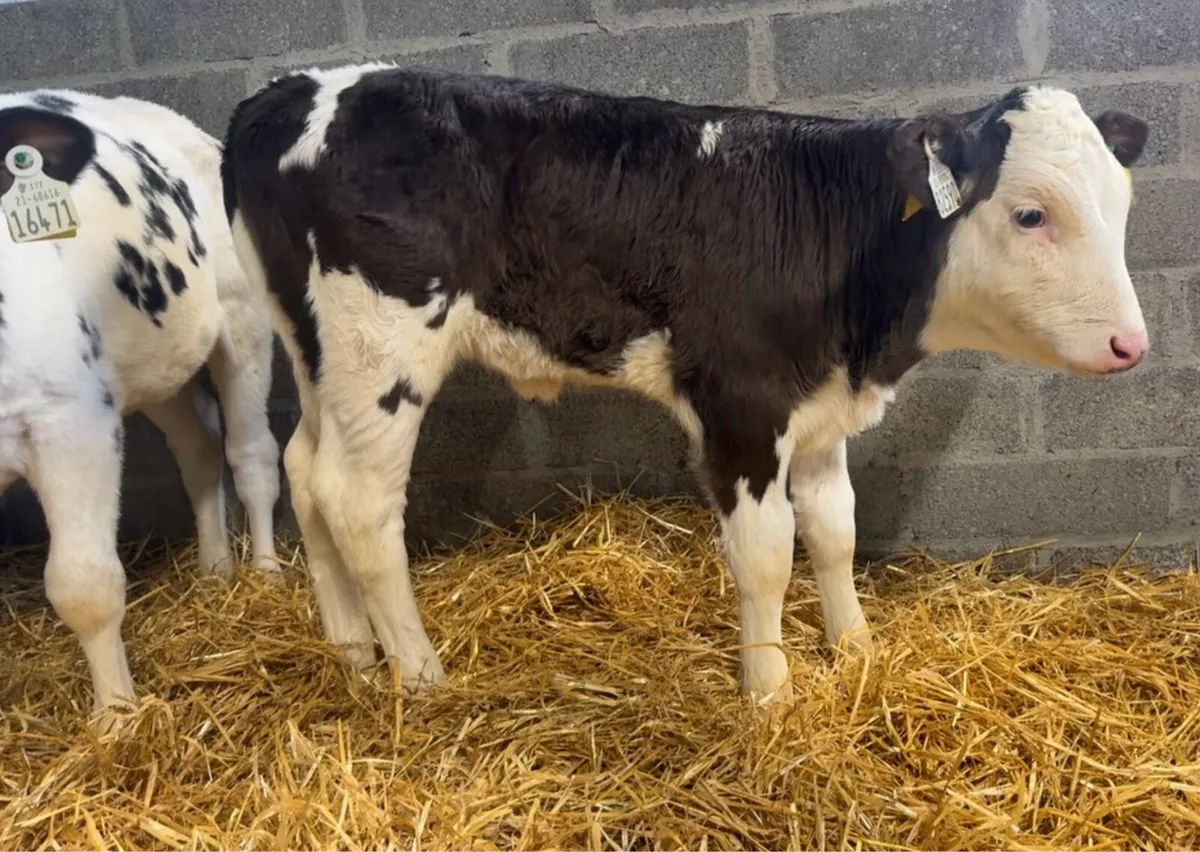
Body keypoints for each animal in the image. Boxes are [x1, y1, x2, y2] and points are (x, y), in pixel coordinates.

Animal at [0, 90, 281, 725]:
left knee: (251, 456)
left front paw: (116, 719)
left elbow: (84, 584)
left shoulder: (71, 418)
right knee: (199, 449)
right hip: (160, 366)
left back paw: (266, 576)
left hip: (242, 317)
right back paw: (214, 570)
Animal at [221, 64, 1149, 702]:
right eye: (1030, 213)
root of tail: (290, 90)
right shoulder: (740, 402)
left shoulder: (819, 410)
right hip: (382, 346)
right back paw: (419, 676)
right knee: (358, 499)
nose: (1130, 344)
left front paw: (854, 652)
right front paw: (770, 693)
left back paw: (352, 655)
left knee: (305, 472)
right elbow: (767, 553)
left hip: (318, 349)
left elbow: (835, 530)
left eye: (1123, 204)